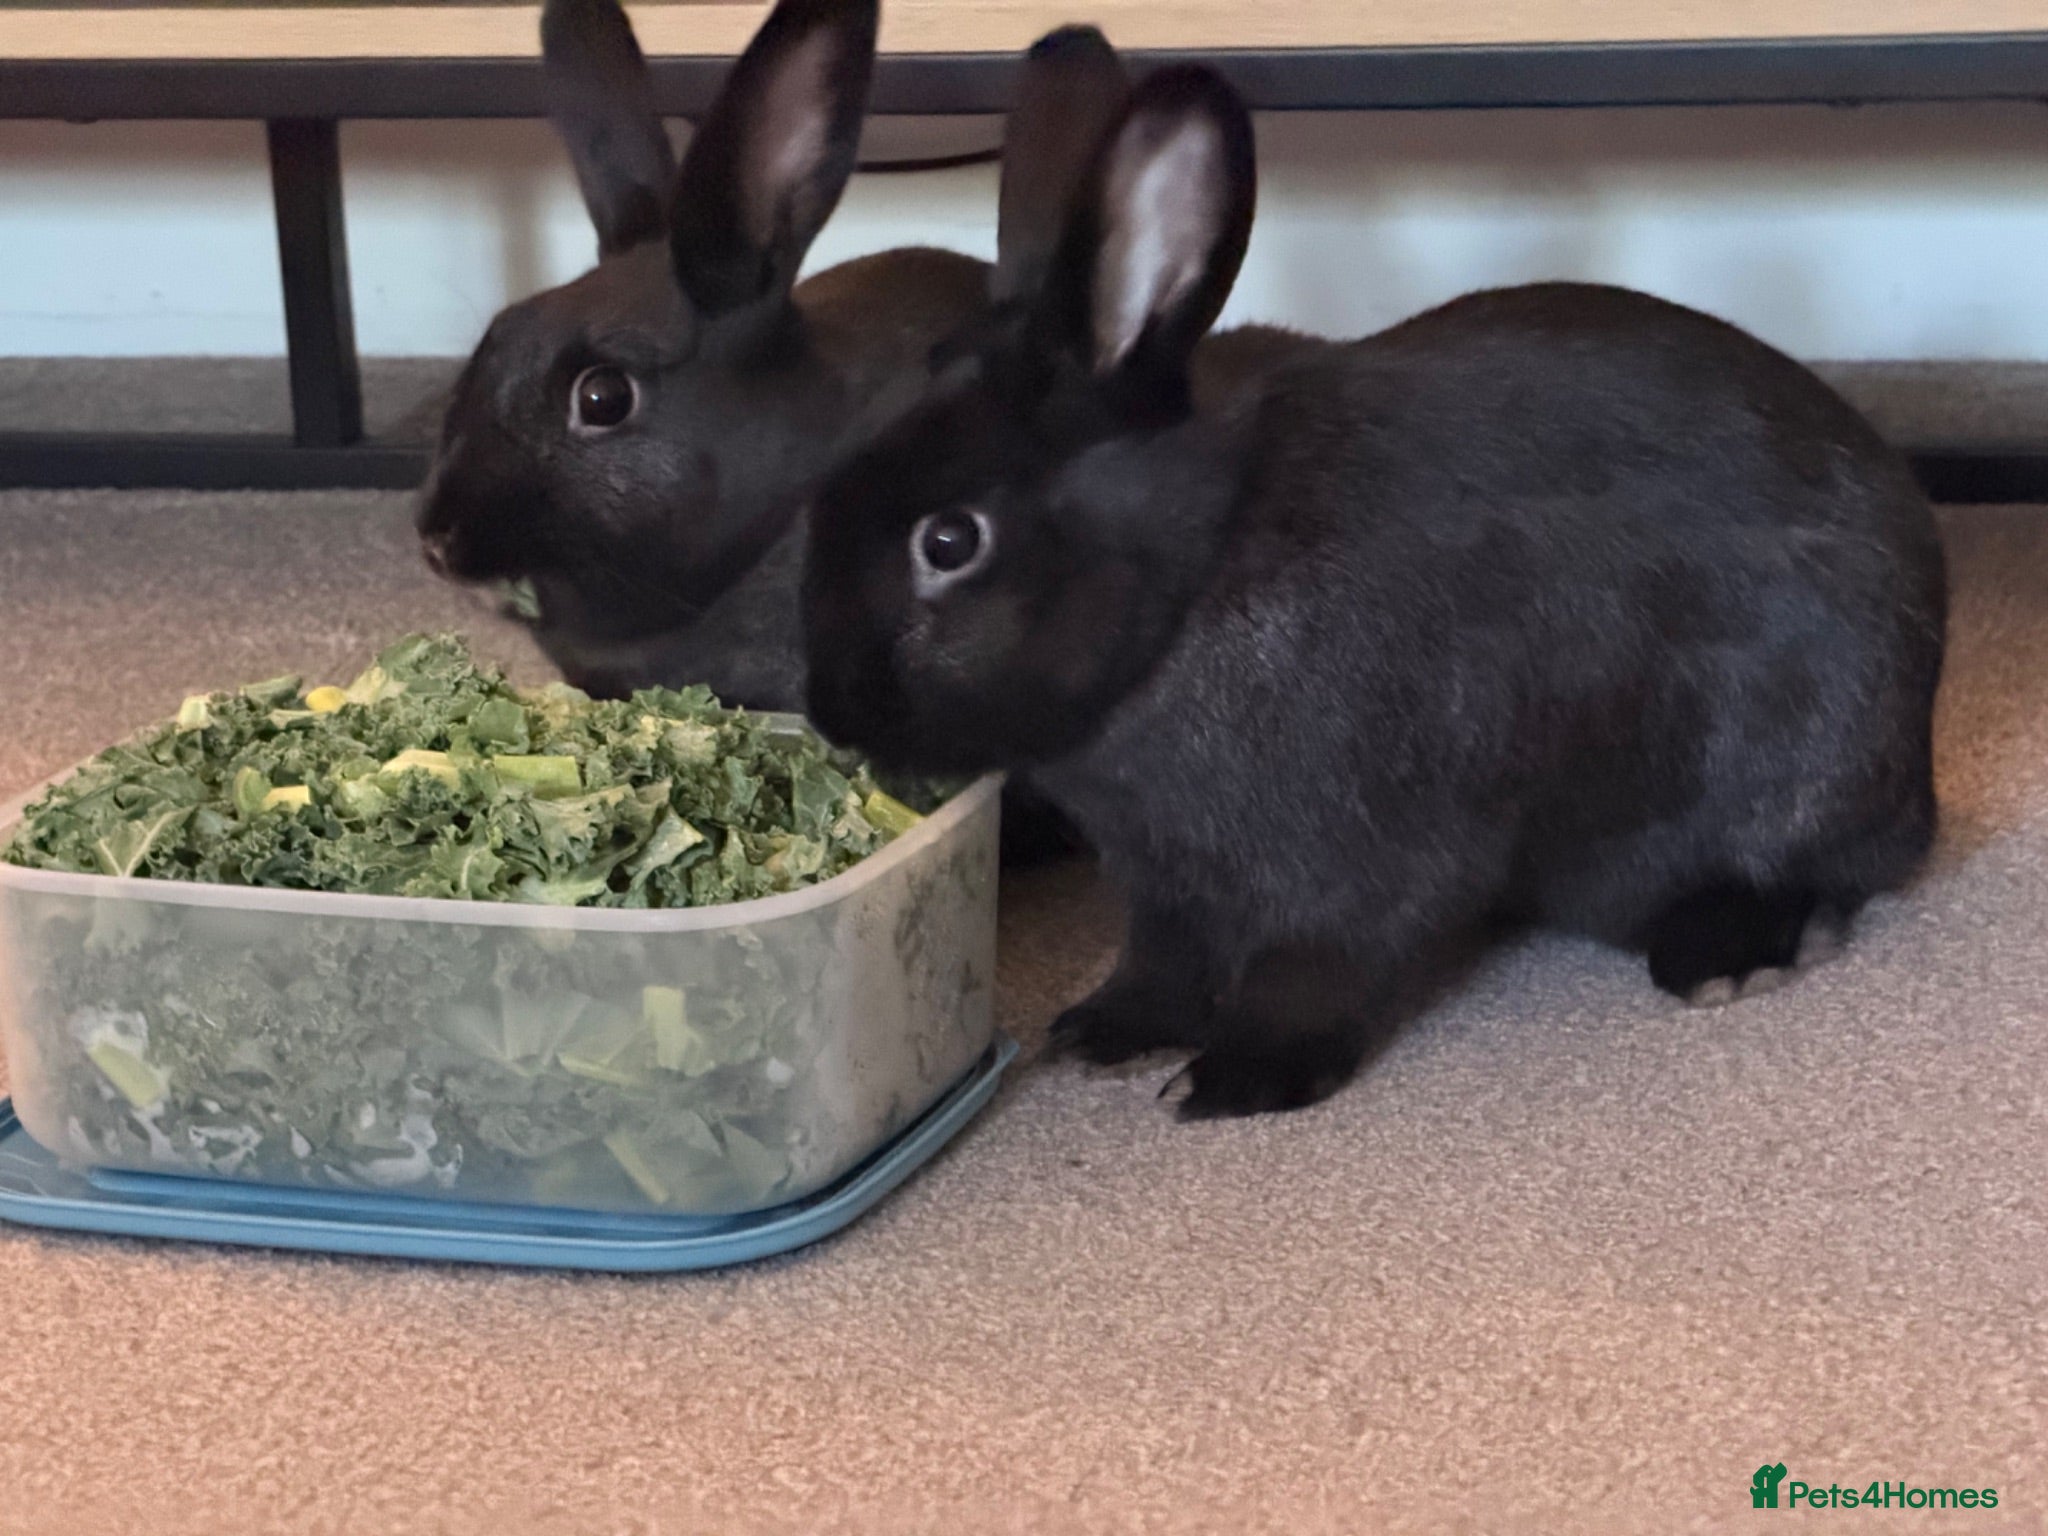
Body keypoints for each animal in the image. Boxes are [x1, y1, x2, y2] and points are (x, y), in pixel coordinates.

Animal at [801, 65, 1948, 1119]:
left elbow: (1314, 969)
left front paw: (1232, 1081)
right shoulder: (1167, 882)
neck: (1189, 588)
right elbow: (1162, 961)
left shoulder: (1357, 858)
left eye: (949, 539)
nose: (833, 712)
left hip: (1811, 752)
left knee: (1831, 863)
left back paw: (1727, 955)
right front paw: (1102, 1033)